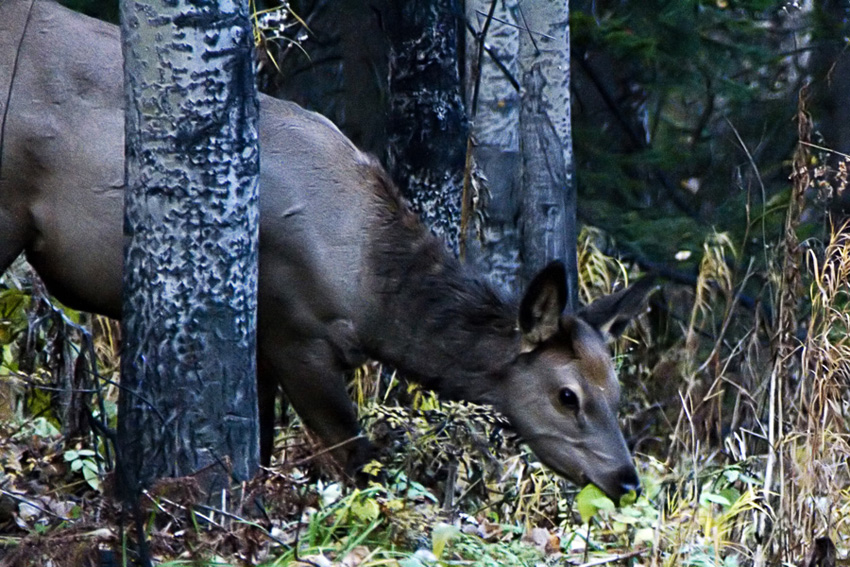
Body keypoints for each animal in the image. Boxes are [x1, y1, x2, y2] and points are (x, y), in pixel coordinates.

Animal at [0, 0, 648, 502]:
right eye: (567, 395)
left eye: (616, 391)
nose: (627, 479)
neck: (367, 289)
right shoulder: (295, 332)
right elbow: (360, 458)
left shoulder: (263, 343)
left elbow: (262, 448)